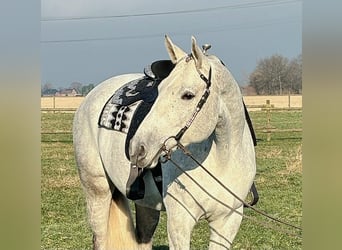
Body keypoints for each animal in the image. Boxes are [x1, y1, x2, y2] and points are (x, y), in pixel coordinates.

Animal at [73, 35, 255, 250]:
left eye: (188, 95)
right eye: (159, 90)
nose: (137, 149)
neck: (223, 158)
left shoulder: (228, 221)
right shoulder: (180, 222)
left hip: (146, 204)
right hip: (98, 192)